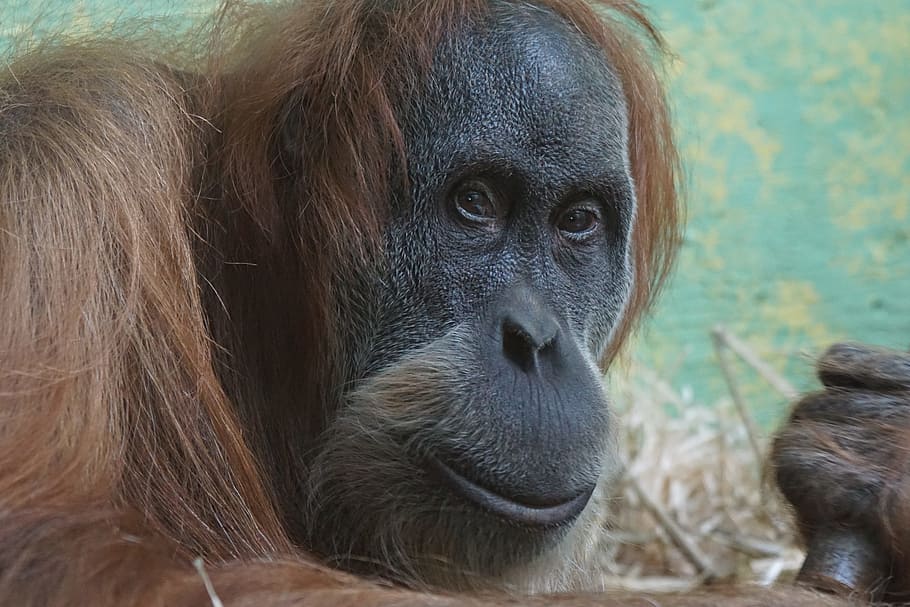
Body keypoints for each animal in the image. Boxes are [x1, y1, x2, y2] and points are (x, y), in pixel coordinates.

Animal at [0, 0, 898, 605]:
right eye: (476, 203)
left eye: (577, 222)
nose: (535, 338)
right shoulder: (70, 157)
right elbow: (52, 546)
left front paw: (877, 458)